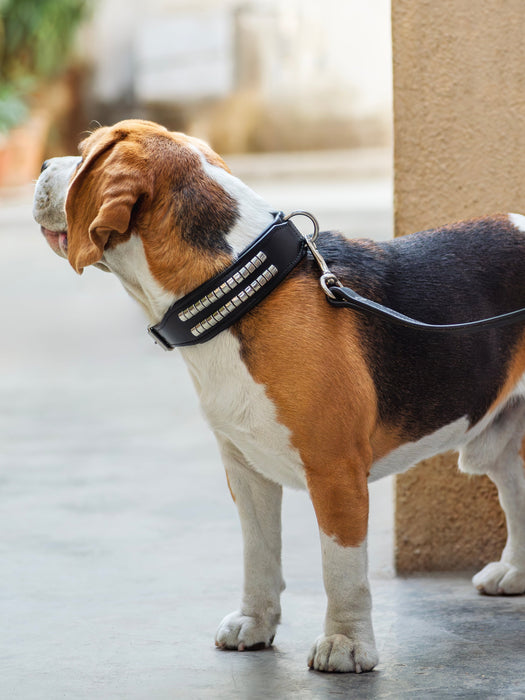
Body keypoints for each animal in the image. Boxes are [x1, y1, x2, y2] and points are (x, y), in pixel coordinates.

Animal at [33, 119, 525, 672]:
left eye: (84, 156)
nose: (43, 166)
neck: (241, 287)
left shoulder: (335, 473)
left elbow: (341, 569)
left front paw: (346, 643)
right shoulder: (245, 469)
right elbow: (258, 553)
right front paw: (255, 622)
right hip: (499, 448)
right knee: (516, 491)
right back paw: (514, 572)